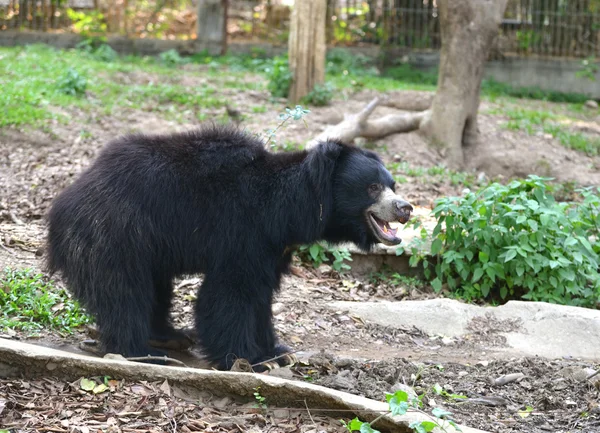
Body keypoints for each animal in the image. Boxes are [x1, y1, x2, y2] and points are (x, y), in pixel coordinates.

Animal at [47, 123, 412, 370]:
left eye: (393, 185)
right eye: (372, 187)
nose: (405, 208)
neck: (289, 208)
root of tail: (66, 199)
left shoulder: (273, 247)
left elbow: (261, 296)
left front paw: (277, 352)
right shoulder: (243, 231)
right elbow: (230, 293)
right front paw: (248, 359)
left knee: (154, 286)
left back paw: (169, 335)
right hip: (117, 233)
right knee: (124, 290)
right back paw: (143, 351)